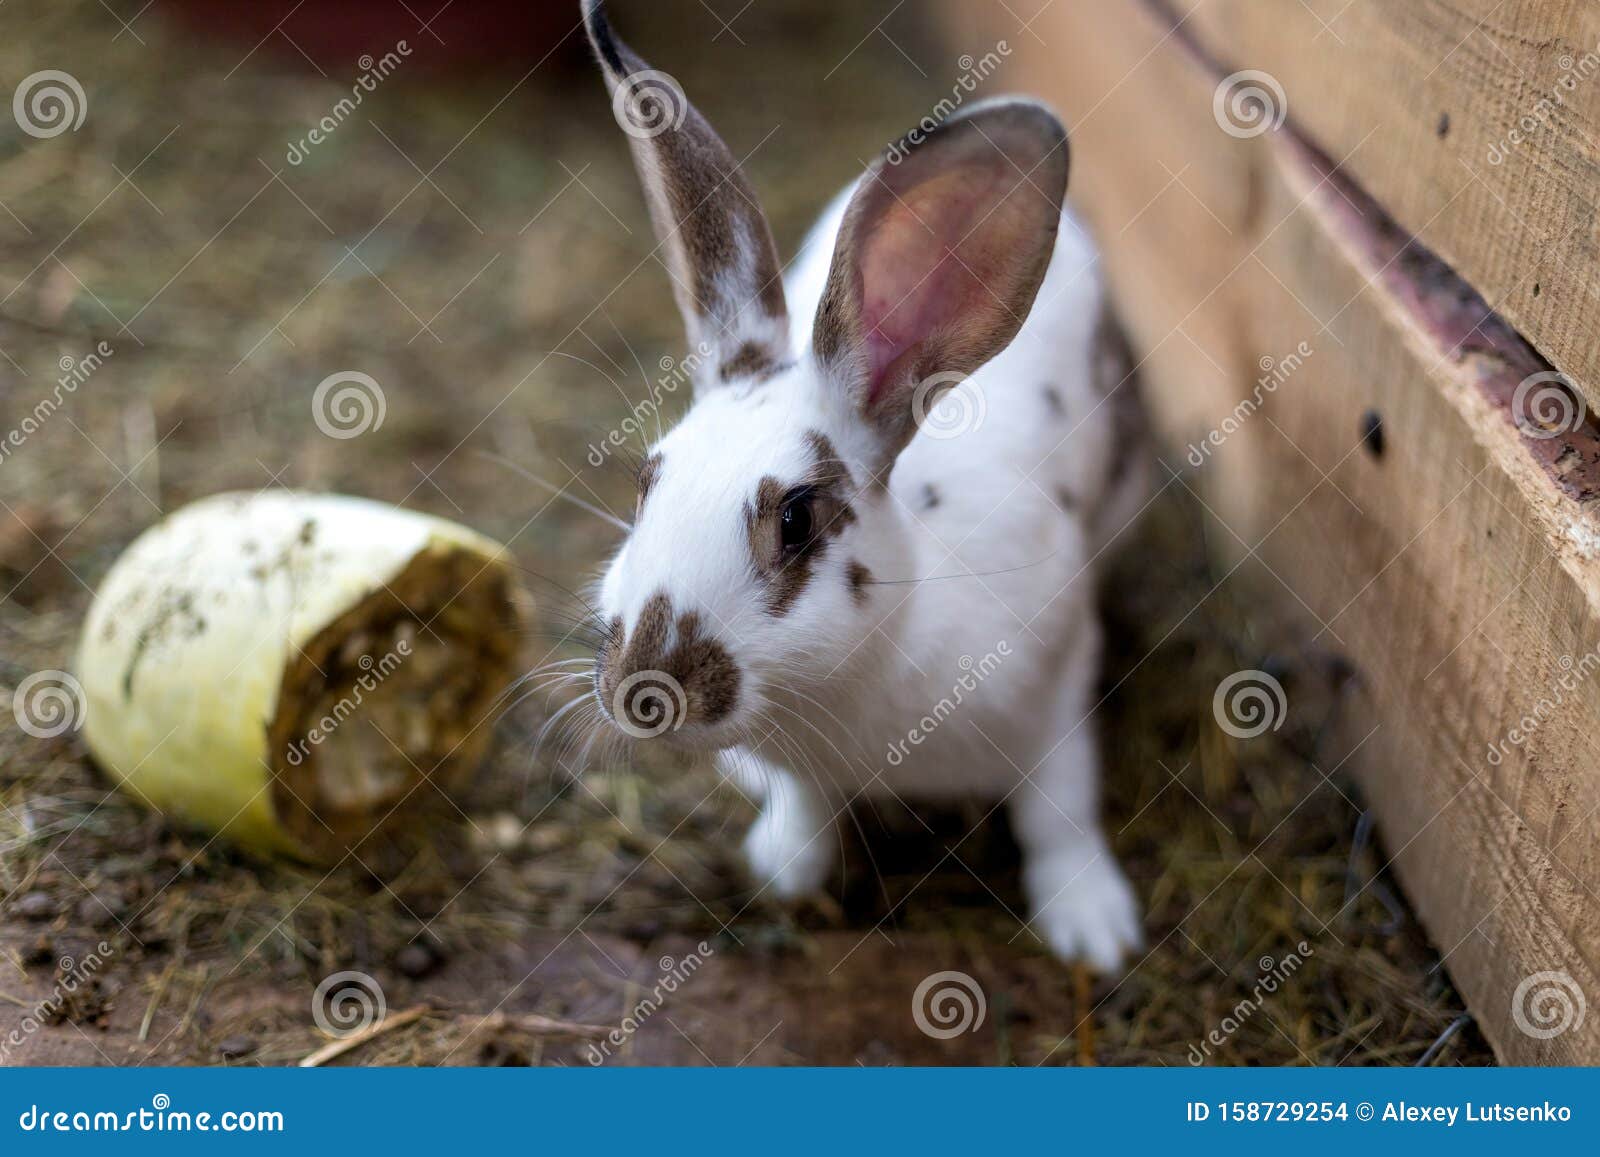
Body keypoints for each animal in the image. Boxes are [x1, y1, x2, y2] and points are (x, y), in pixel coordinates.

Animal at [578, 0, 1150, 971]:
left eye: (798, 519)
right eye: (646, 483)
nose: (644, 692)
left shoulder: (1059, 681)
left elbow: (1060, 813)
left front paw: (1094, 931)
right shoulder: (806, 768)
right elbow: (809, 806)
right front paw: (789, 866)